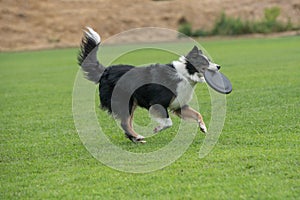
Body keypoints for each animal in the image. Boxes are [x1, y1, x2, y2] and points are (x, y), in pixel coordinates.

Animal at [78, 27, 220, 143]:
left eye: (209, 61)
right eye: (205, 62)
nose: (219, 66)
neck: (185, 73)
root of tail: (105, 71)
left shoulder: (178, 105)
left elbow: (197, 114)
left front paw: (203, 127)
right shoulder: (158, 103)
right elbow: (168, 122)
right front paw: (157, 129)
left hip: (132, 103)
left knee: (127, 123)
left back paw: (136, 139)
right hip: (126, 102)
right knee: (125, 123)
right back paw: (138, 137)